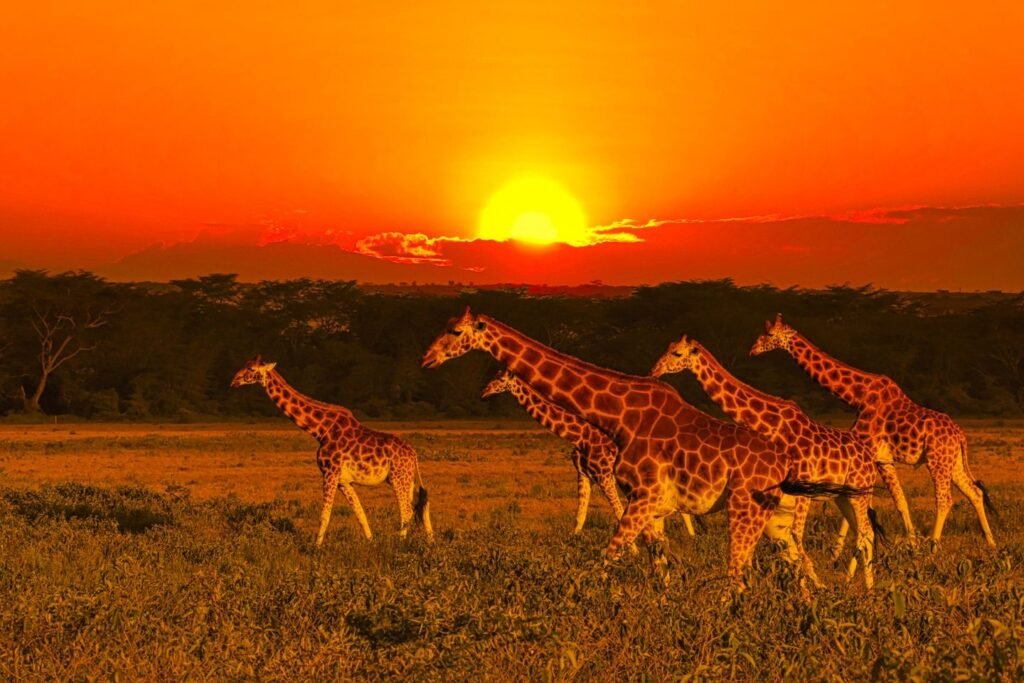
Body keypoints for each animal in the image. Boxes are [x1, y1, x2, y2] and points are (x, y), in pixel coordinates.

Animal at [230, 356, 433, 545]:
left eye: (251, 369)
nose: (234, 381)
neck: (321, 430)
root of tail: (414, 454)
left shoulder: (330, 473)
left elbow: (324, 516)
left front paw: (315, 547)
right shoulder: (344, 481)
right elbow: (360, 514)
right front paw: (371, 542)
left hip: (399, 478)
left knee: (407, 510)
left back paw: (401, 543)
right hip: (405, 479)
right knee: (421, 508)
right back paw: (431, 543)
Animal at [482, 370, 697, 542]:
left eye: (500, 379)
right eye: (493, 375)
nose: (484, 392)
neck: (580, 436)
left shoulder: (604, 476)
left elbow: (618, 512)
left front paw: (634, 551)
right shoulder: (583, 475)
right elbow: (581, 515)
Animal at [651, 335, 885, 588]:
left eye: (677, 353)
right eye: (668, 347)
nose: (654, 370)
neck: (768, 423)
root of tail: (870, 460)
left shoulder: (799, 488)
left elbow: (793, 537)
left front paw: (810, 585)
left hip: (859, 493)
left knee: (866, 533)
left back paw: (866, 588)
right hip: (843, 496)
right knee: (863, 532)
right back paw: (858, 583)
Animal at [751, 313, 996, 553]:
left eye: (769, 334)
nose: (752, 350)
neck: (857, 397)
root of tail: (960, 435)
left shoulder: (868, 452)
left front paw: (840, 551)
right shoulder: (882, 459)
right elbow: (900, 501)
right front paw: (912, 545)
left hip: (938, 461)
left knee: (945, 499)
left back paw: (934, 548)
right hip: (953, 462)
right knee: (974, 492)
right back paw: (990, 542)